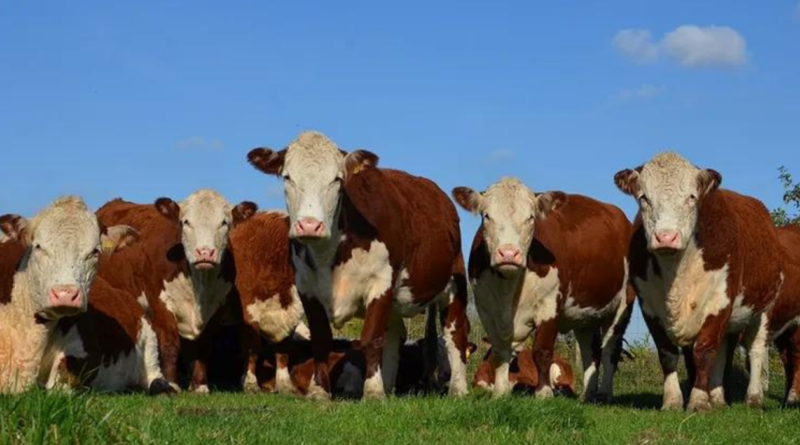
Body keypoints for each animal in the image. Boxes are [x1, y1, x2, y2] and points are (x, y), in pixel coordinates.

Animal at [94, 189, 258, 390]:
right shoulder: (160, 302)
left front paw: (199, 385)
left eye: (224, 222)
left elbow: (204, 346)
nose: (205, 253)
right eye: (185, 222)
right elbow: (170, 343)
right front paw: (172, 383)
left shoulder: (218, 305)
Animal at [244, 130, 468, 398]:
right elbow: (321, 339)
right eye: (288, 177)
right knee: (395, 335)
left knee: (455, 333)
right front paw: (320, 390)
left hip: (455, 281)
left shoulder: (381, 284)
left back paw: (458, 389)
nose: (309, 225)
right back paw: (389, 386)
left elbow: (371, 338)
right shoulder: (306, 289)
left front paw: (372, 391)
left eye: (337, 179)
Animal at [454, 178, 636, 402]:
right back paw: (587, 395)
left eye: (531, 217)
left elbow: (541, 351)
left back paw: (604, 393)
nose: (508, 253)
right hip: (585, 317)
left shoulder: (549, 305)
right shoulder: (486, 309)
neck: (509, 290)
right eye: (486, 215)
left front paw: (544, 393)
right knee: (590, 351)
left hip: (623, 305)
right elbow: (499, 351)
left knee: (611, 348)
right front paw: (500, 392)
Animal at [620, 152, 780, 410]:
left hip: (765, 306)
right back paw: (718, 397)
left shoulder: (719, 302)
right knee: (723, 353)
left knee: (755, 349)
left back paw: (754, 398)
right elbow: (668, 353)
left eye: (691, 197)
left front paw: (698, 401)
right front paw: (673, 401)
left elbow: (704, 352)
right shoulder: (649, 306)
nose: (666, 237)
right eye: (643, 197)